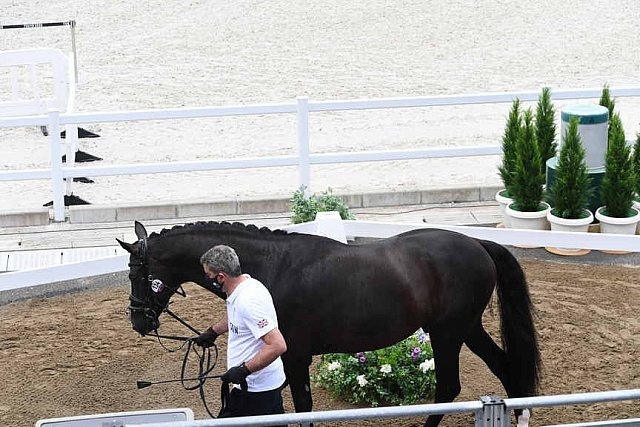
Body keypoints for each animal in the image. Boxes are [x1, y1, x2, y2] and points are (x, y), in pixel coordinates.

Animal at [116, 222, 540, 426]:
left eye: (137, 273)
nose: (138, 320)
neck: (271, 267)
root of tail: (477, 243)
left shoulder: (294, 356)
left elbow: (303, 407)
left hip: (447, 332)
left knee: (449, 386)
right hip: (465, 328)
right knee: (504, 366)